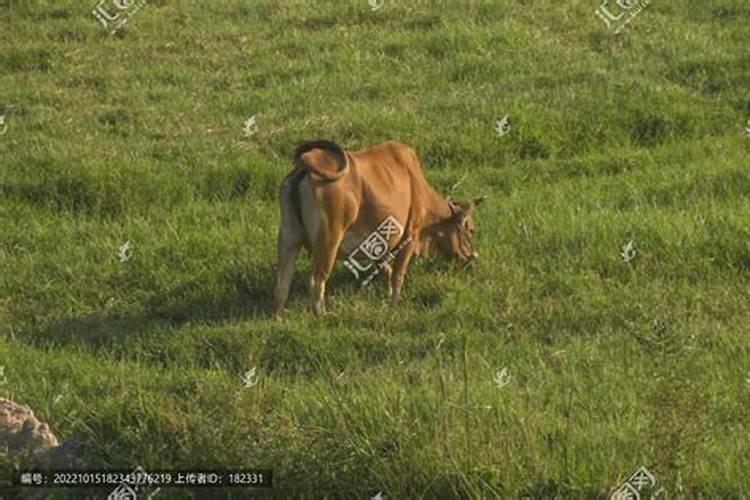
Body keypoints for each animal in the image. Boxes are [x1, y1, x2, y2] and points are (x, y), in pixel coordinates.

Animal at [274, 139, 484, 314]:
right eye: (471, 229)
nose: (472, 258)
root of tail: (306, 165)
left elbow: (386, 269)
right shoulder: (410, 236)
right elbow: (398, 274)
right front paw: (395, 305)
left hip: (289, 236)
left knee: (283, 280)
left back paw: (278, 316)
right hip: (328, 241)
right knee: (317, 280)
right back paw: (322, 315)